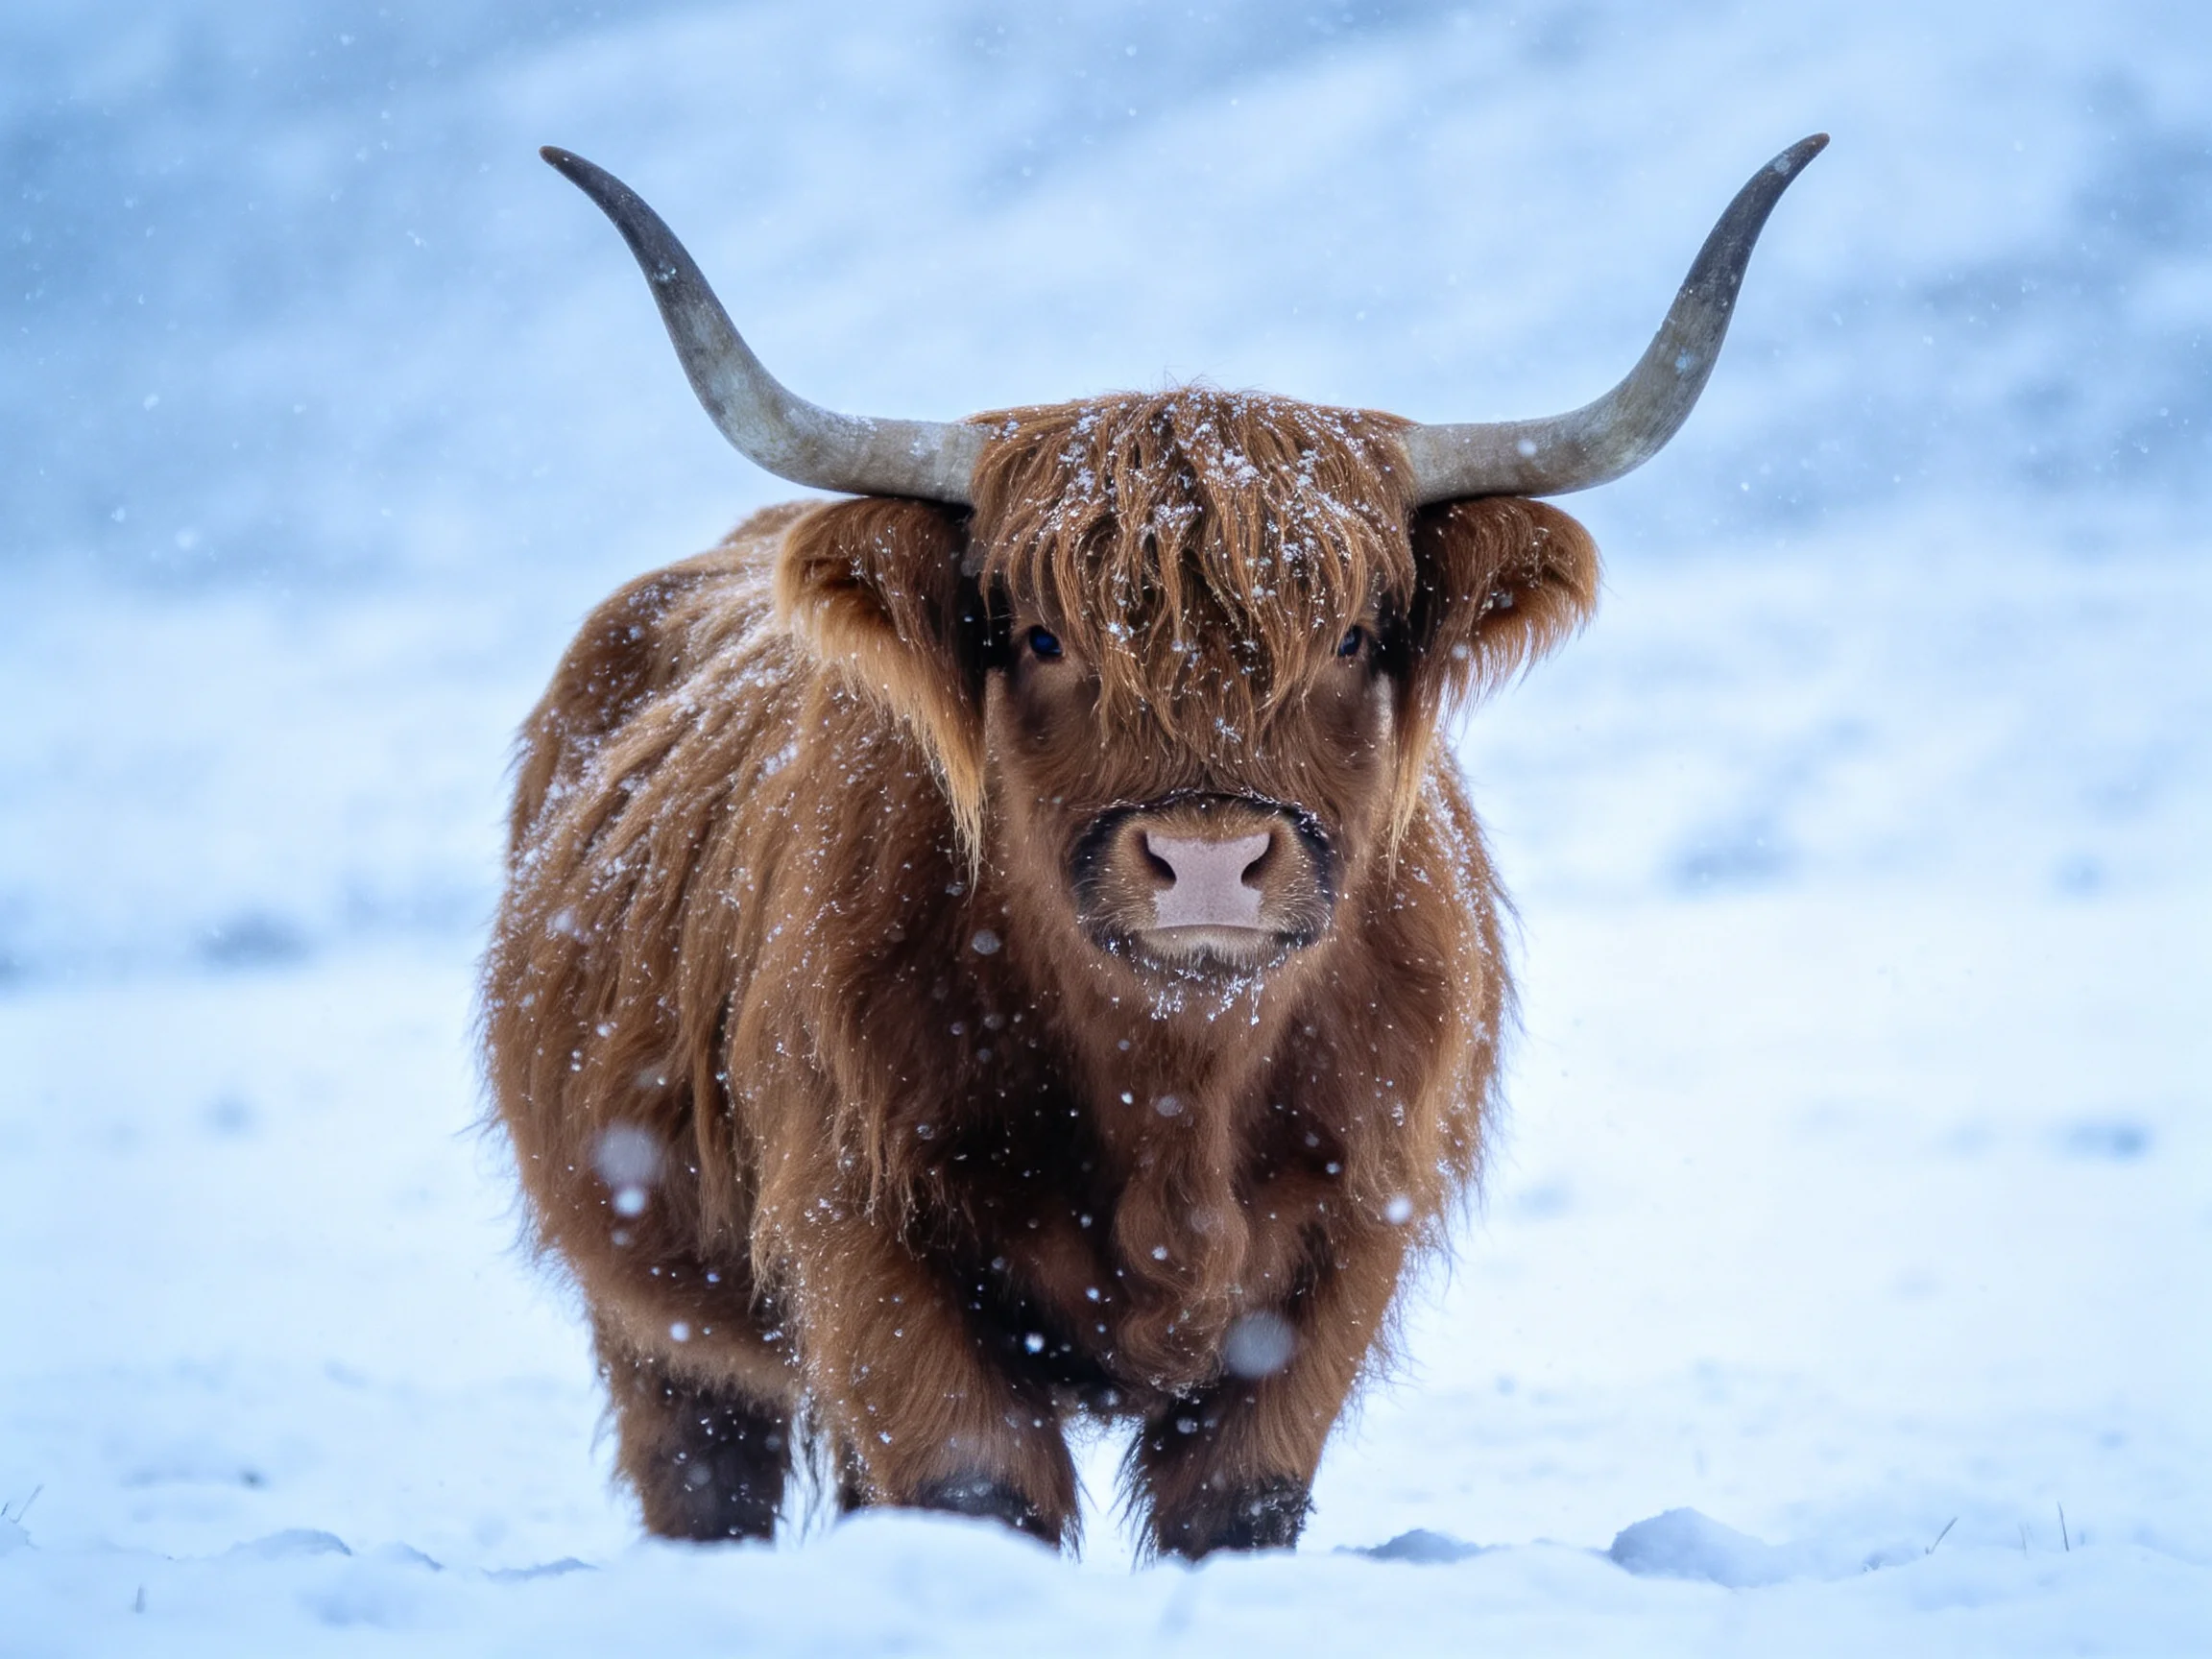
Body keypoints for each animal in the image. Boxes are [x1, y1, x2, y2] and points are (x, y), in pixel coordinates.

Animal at [482, 136, 1823, 1557]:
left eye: (1353, 637)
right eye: (1041, 637)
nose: (1209, 859)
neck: (1173, 1088)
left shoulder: (1345, 1246)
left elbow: (1237, 1499)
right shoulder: (861, 1227)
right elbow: (972, 1483)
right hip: (653, 1312)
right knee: (702, 1464)